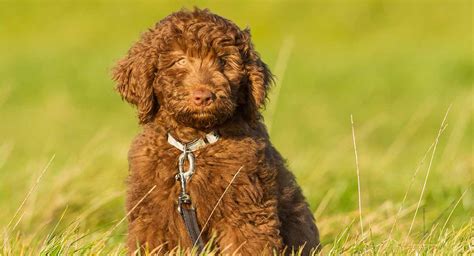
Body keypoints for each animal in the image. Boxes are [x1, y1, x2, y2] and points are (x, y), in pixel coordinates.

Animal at [112, 7, 318, 254]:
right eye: (180, 60)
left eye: (223, 61)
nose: (204, 96)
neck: (192, 146)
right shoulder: (150, 213)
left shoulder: (245, 209)